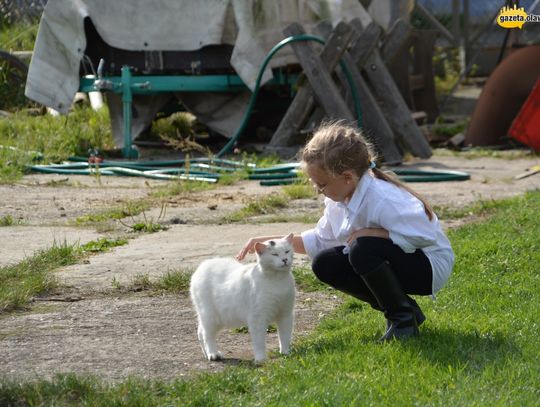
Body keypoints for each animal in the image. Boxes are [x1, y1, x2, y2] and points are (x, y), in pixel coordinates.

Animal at [190, 233, 296, 364]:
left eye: (287, 251)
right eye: (274, 254)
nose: (285, 259)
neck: (278, 281)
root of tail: (202, 266)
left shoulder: (286, 315)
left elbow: (285, 336)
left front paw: (286, 353)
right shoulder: (257, 318)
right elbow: (259, 341)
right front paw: (261, 359)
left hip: (215, 318)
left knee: (200, 331)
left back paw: (206, 354)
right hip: (210, 317)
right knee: (207, 335)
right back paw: (213, 354)